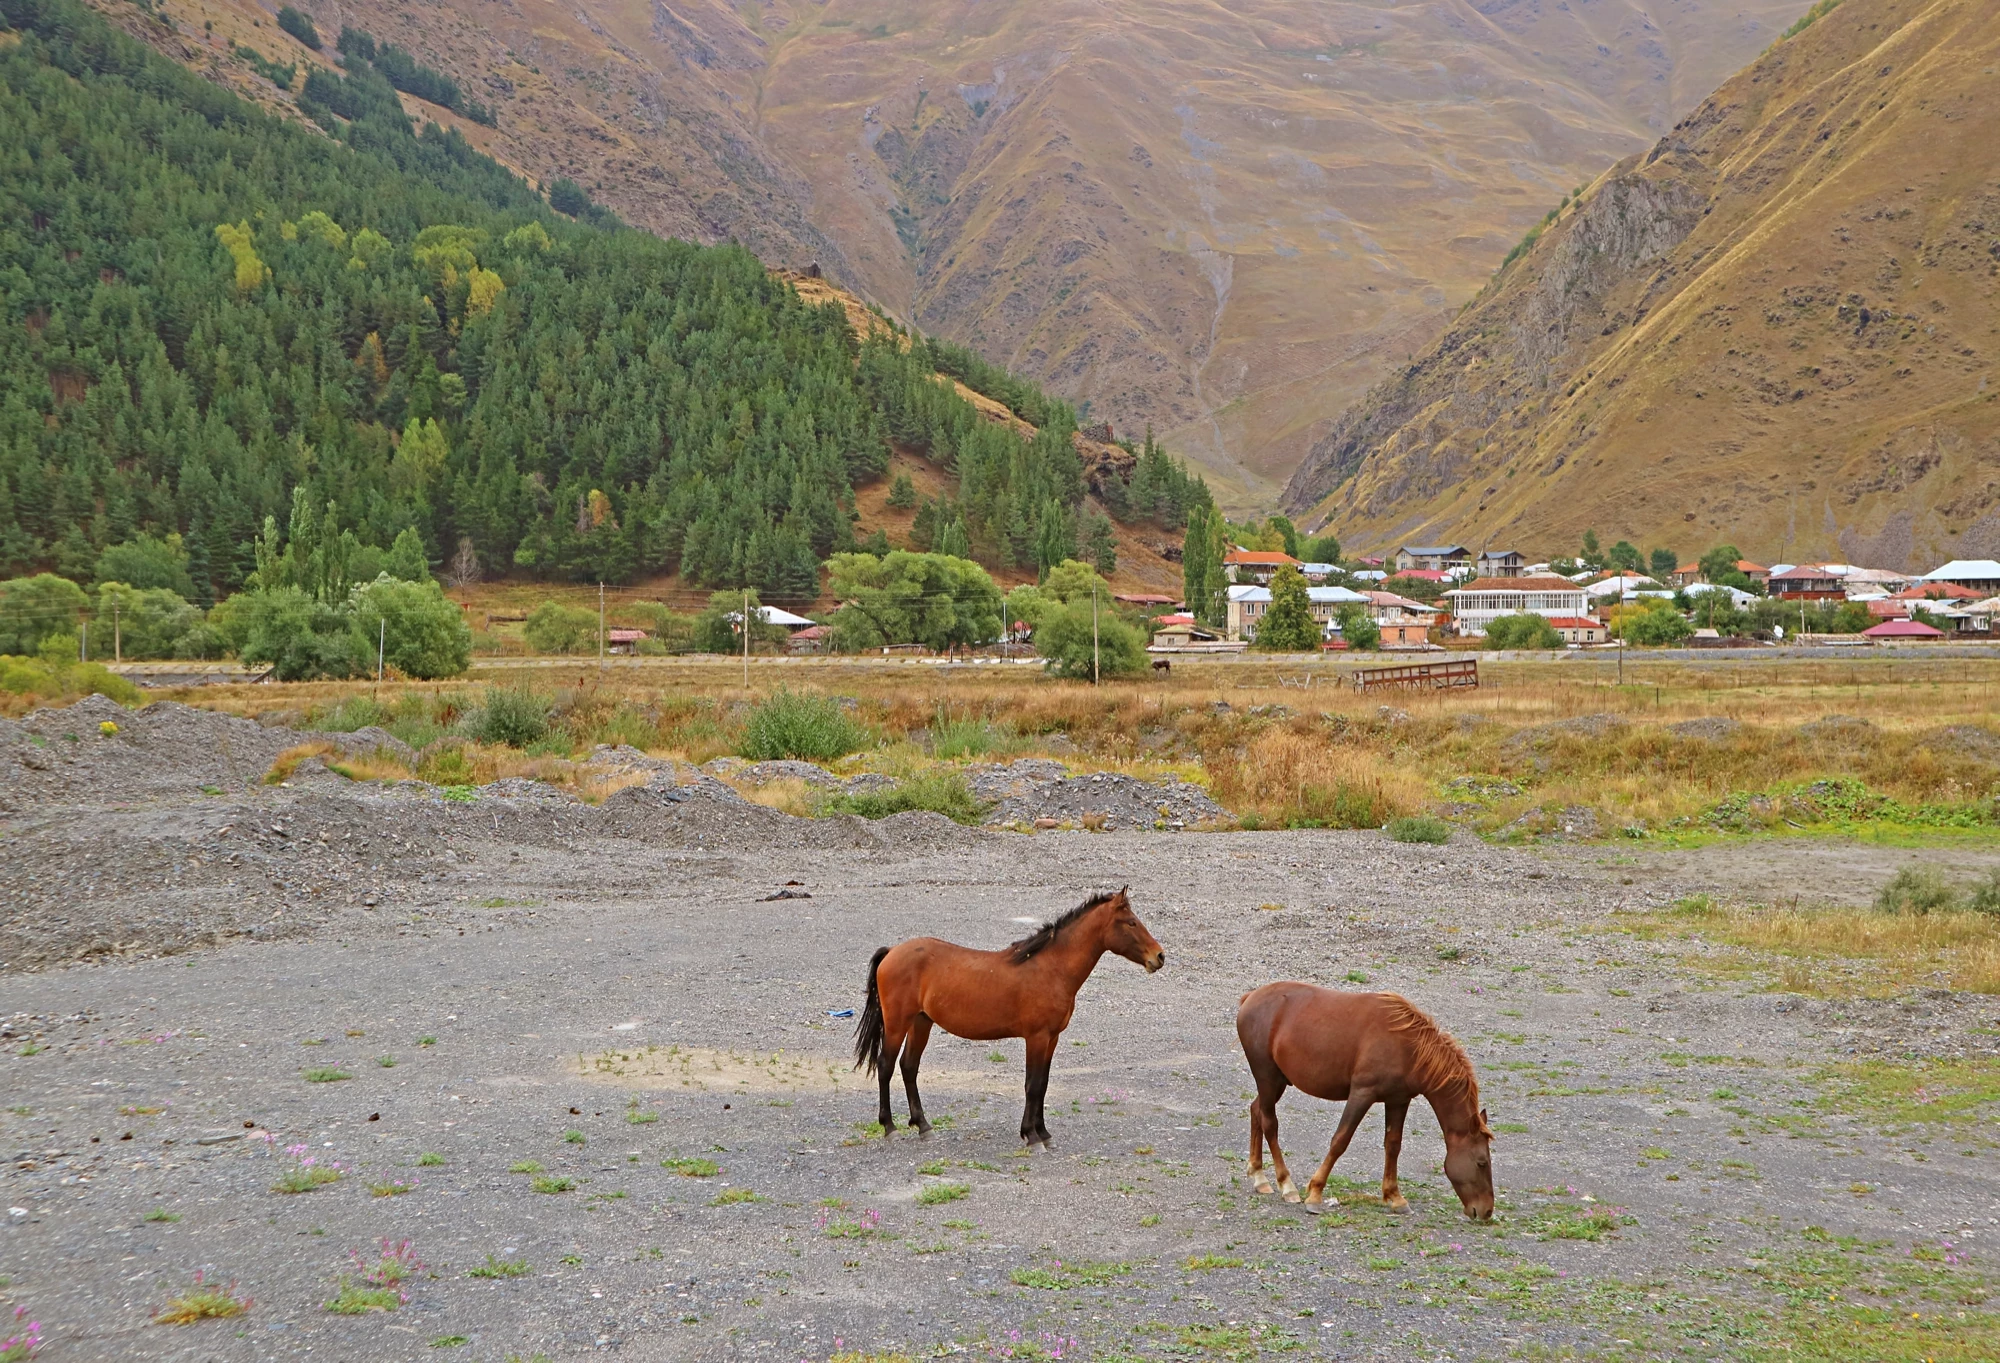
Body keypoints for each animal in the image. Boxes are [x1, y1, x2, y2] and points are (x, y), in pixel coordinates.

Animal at [852, 888, 1168, 1144]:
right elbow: (1032, 1085)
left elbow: (1043, 1084)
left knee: (909, 1067)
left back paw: (923, 1126)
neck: (1051, 969)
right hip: (897, 1024)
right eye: (1131, 922)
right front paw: (1032, 1136)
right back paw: (890, 1127)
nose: (1159, 956)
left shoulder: (1051, 1038)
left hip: (921, 1023)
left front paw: (1043, 1133)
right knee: (885, 1066)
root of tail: (892, 951)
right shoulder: (1037, 1037)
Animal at [1232, 976, 1504, 1224]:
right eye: (1482, 1163)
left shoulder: (1398, 1100)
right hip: (1267, 1078)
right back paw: (1286, 1185)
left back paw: (1259, 1177)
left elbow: (1393, 1145)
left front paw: (1395, 1197)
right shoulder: (1362, 1094)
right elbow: (1340, 1141)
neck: (1409, 1048)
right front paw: (1315, 1194)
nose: (1486, 1211)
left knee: (1256, 1111)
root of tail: (1250, 998)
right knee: (1269, 1123)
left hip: (1277, 1082)